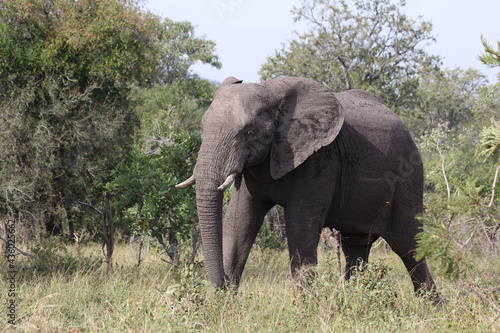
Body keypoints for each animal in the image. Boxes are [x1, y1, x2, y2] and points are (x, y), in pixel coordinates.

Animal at [175, 75, 438, 298]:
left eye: (249, 132)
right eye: (203, 125)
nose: (222, 286)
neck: (271, 91)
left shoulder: (319, 158)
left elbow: (301, 226)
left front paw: (305, 310)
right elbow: (238, 222)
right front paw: (224, 307)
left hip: (409, 178)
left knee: (409, 245)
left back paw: (432, 308)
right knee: (355, 247)